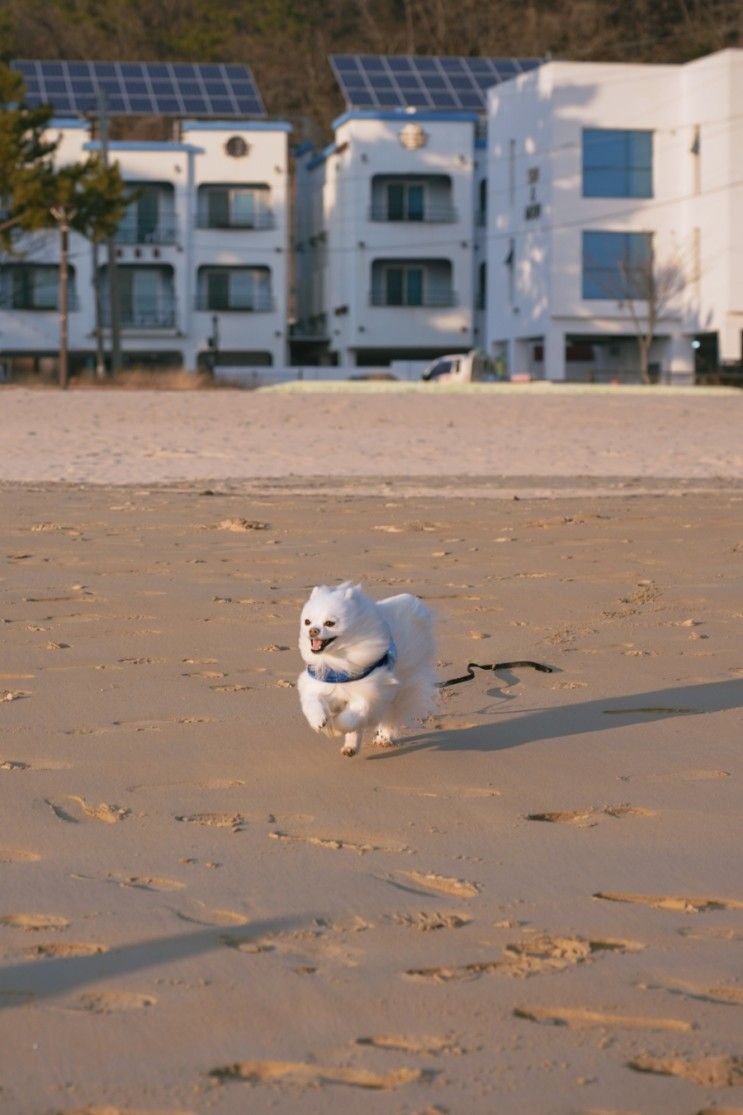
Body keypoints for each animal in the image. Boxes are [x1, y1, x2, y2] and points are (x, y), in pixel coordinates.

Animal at [294, 584, 435, 758]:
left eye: (330, 623)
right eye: (307, 622)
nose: (313, 630)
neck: (338, 659)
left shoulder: (369, 693)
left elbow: (350, 718)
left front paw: (335, 728)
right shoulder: (322, 686)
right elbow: (313, 702)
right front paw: (319, 720)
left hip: (400, 690)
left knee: (389, 716)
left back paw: (383, 738)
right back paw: (350, 748)